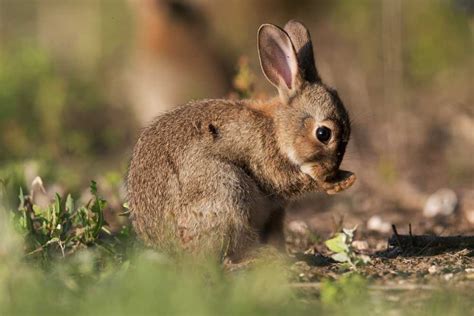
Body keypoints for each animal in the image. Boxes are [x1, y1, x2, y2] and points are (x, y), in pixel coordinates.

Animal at [126, 20, 356, 262]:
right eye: (323, 134)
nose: (330, 172)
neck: (277, 129)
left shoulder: (276, 212)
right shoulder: (266, 161)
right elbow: (288, 180)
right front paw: (337, 182)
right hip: (225, 188)